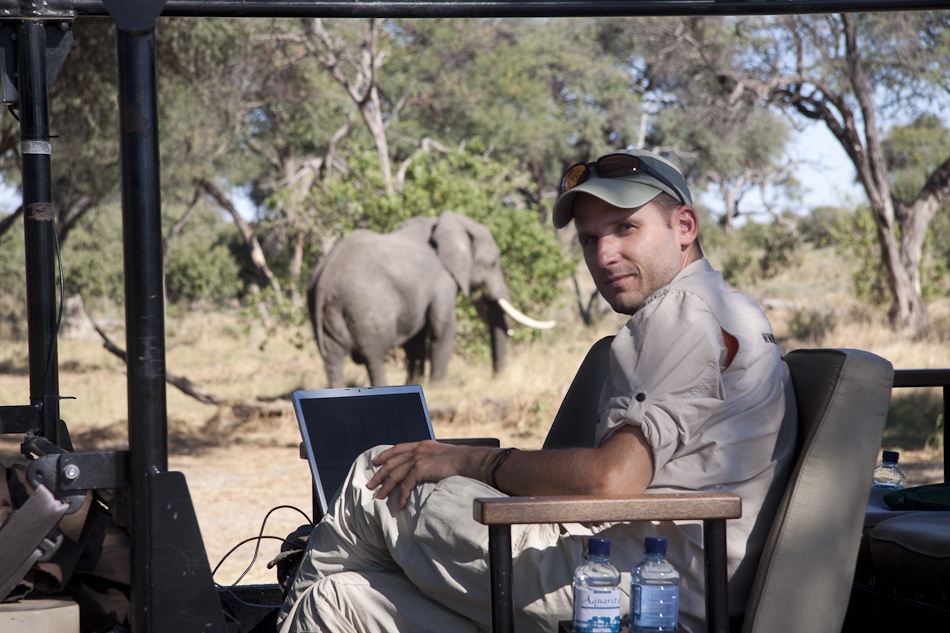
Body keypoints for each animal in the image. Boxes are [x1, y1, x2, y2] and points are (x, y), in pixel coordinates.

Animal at [308, 210, 556, 388]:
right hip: (366, 308)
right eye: (494, 263)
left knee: (333, 357)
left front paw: (417, 383)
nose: (497, 379)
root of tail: (325, 279)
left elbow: (416, 338)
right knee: (374, 354)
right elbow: (442, 325)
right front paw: (438, 387)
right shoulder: (442, 280)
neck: (450, 223)